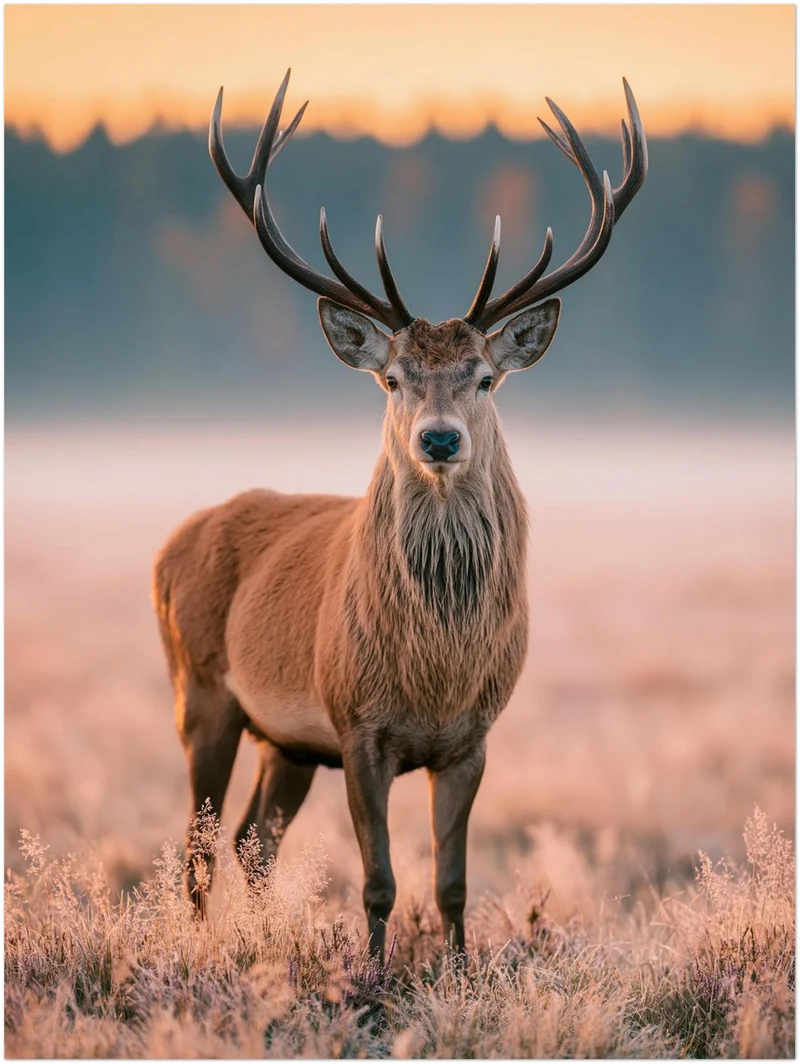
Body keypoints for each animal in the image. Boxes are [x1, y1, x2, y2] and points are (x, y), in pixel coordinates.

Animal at [153, 70, 647, 960]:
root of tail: (169, 546)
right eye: (392, 379)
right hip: (199, 689)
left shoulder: (474, 737)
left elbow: (452, 883)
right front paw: (376, 975)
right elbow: (378, 881)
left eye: (484, 376)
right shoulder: (358, 725)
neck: (434, 672)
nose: (439, 437)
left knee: (251, 842)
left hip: (287, 742)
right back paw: (200, 946)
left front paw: (457, 968)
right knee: (199, 846)